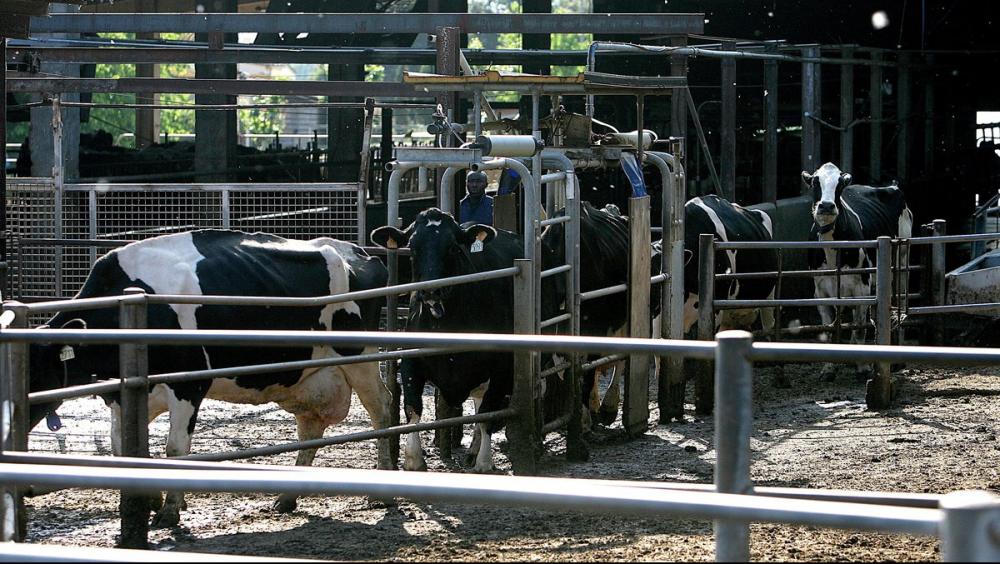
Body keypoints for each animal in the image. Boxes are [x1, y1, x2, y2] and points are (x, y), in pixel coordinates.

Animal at [26, 229, 393, 527]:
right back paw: (287, 498)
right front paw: (149, 498)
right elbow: (126, 450)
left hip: (361, 356)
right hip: (307, 378)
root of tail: (357, 251)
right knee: (311, 426)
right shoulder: (122, 393)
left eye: (36, 374)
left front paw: (169, 510)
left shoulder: (188, 385)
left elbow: (175, 449)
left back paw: (383, 493)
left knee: (381, 410)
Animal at [802, 162, 913, 380]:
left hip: (902, 263)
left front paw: (863, 368)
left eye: (839, 185)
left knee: (899, 306)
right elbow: (829, 329)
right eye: (815, 182)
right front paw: (828, 369)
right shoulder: (821, 292)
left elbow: (860, 328)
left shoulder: (861, 288)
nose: (826, 206)